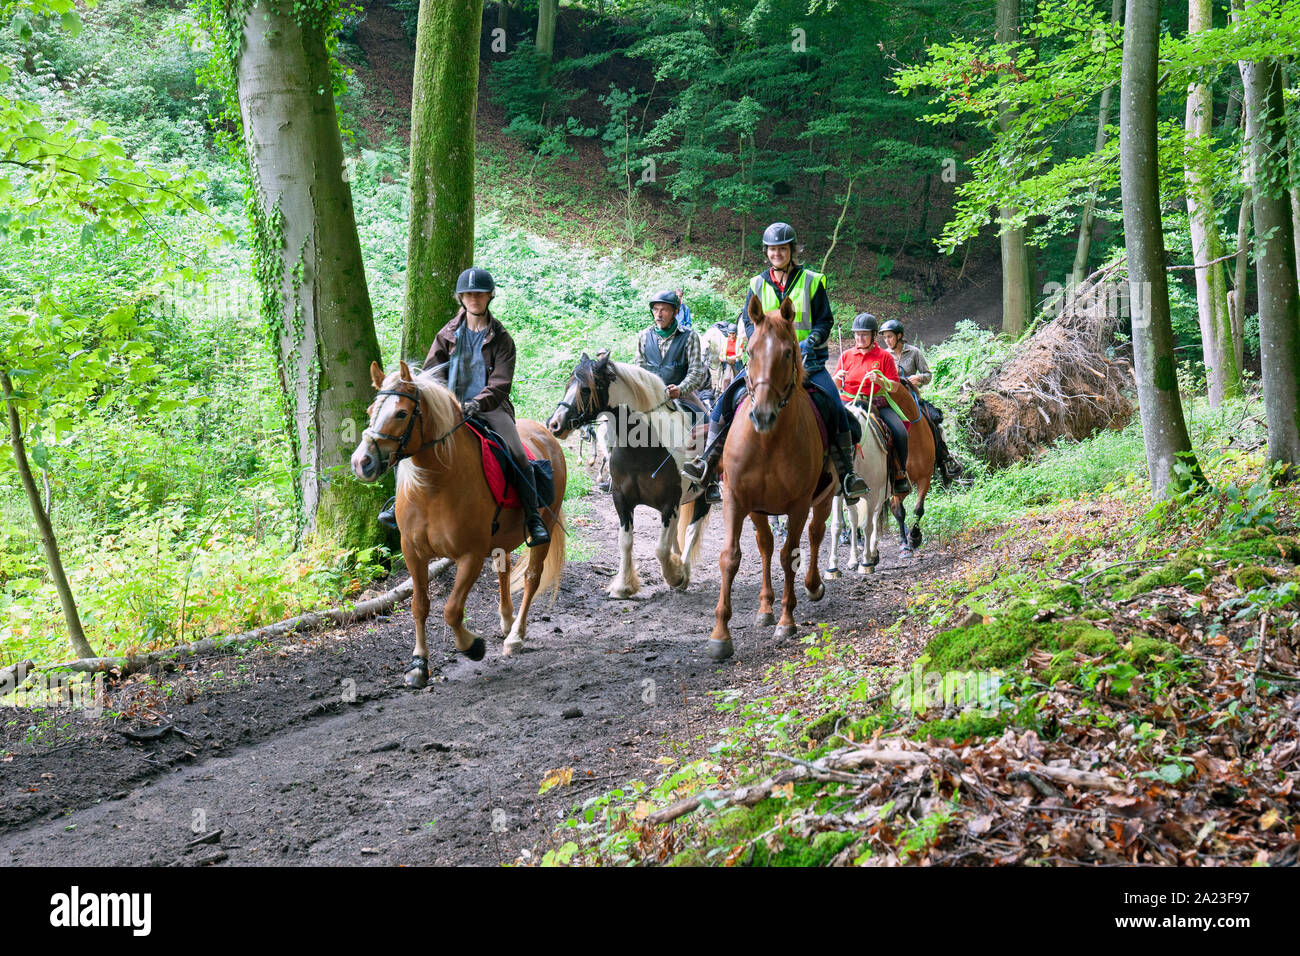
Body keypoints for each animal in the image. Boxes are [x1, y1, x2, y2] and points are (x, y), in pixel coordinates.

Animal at [348, 361, 566, 686]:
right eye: (371, 410)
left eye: (401, 414)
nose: (362, 462)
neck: (434, 486)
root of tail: (545, 434)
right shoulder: (413, 552)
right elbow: (419, 606)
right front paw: (418, 665)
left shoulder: (469, 555)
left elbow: (451, 610)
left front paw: (472, 646)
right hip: (501, 538)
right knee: (503, 570)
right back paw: (506, 620)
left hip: (546, 528)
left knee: (531, 577)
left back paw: (515, 635)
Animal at [548, 356, 712, 598]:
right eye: (568, 386)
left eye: (586, 390)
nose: (554, 425)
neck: (642, 450)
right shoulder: (622, 500)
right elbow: (625, 541)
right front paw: (623, 586)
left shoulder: (669, 503)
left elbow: (661, 548)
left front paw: (675, 576)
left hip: (703, 496)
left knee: (692, 530)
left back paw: (683, 573)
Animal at [707, 295, 837, 660]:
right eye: (750, 352)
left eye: (789, 353)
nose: (762, 415)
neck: (767, 442)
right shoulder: (736, 499)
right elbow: (731, 558)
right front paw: (720, 635)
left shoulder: (798, 505)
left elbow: (789, 555)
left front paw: (787, 621)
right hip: (757, 509)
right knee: (764, 545)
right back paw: (765, 609)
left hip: (824, 498)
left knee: (815, 535)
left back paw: (812, 586)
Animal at [826, 403, 889, 574]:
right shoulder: (838, 495)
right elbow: (836, 526)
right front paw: (833, 566)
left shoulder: (873, 495)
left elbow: (868, 526)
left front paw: (866, 562)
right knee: (854, 521)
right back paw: (853, 560)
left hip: (880, 495)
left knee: (874, 518)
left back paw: (872, 554)